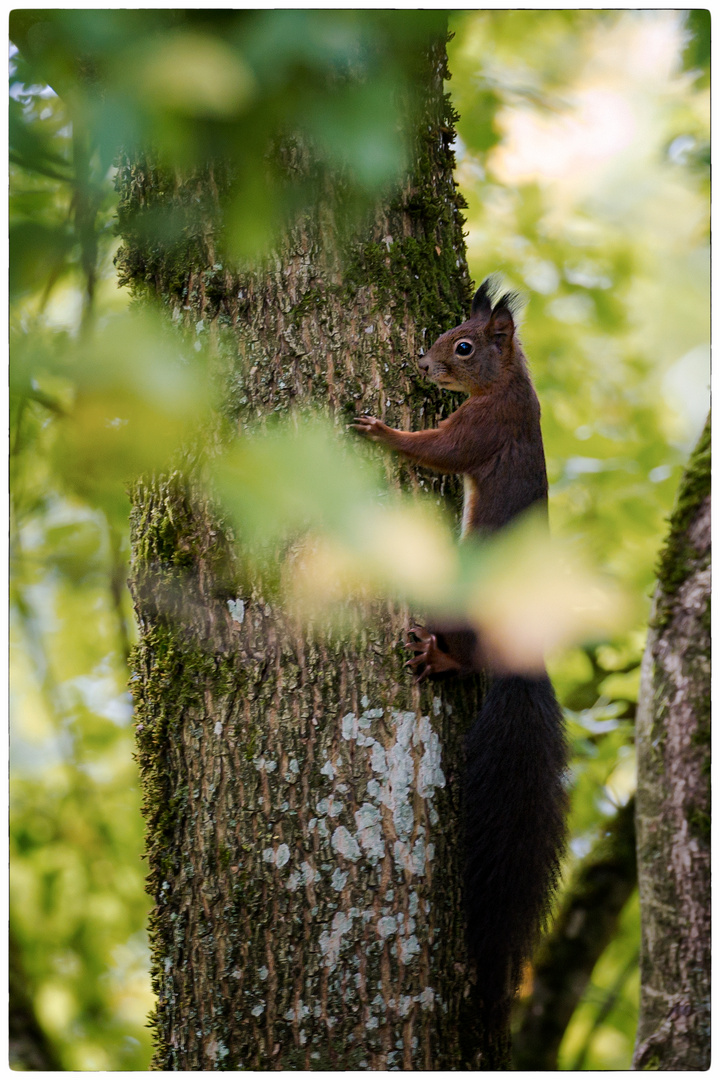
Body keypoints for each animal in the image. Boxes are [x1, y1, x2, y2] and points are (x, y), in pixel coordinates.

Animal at [354, 276, 569, 1010]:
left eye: (465, 346)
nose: (423, 363)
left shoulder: (483, 428)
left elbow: (437, 450)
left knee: (462, 655)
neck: (511, 382)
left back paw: (436, 653)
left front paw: (382, 432)